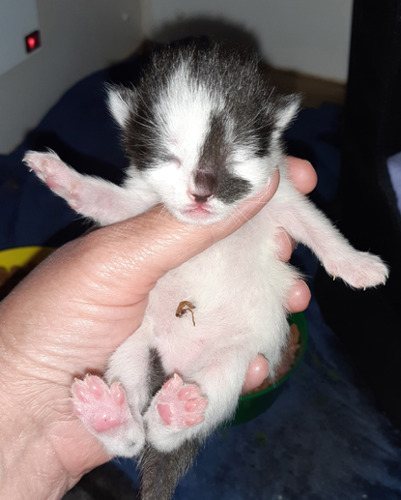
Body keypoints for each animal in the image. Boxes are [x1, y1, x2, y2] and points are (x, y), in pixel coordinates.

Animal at [22, 38, 388, 496]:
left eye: (236, 153)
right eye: (169, 156)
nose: (202, 190)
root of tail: (174, 367)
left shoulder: (283, 199)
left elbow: (321, 229)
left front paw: (359, 265)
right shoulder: (135, 207)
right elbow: (103, 200)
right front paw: (61, 175)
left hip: (233, 364)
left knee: (172, 427)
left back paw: (171, 415)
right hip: (132, 344)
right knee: (136, 433)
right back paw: (111, 415)